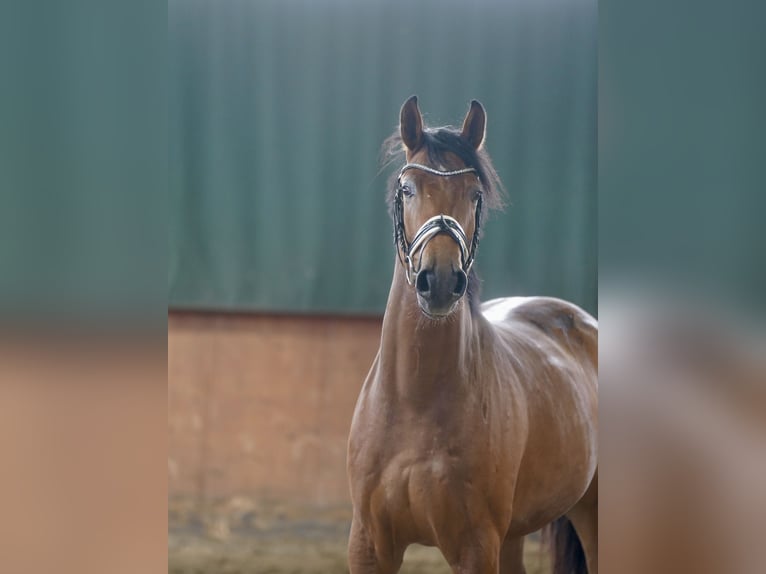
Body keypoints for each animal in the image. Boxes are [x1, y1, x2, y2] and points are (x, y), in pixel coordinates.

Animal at [347, 96, 598, 574]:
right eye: (407, 189)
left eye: (474, 194)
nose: (441, 281)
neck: (416, 401)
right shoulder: (369, 545)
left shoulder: (476, 546)